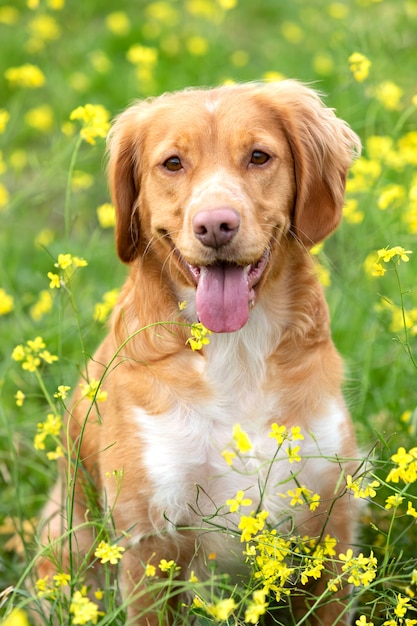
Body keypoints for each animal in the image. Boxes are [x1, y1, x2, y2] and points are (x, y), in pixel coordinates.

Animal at [38, 80, 360, 620]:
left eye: (258, 156)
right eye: (172, 163)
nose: (215, 225)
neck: (237, 352)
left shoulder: (328, 522)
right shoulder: (149, 540)